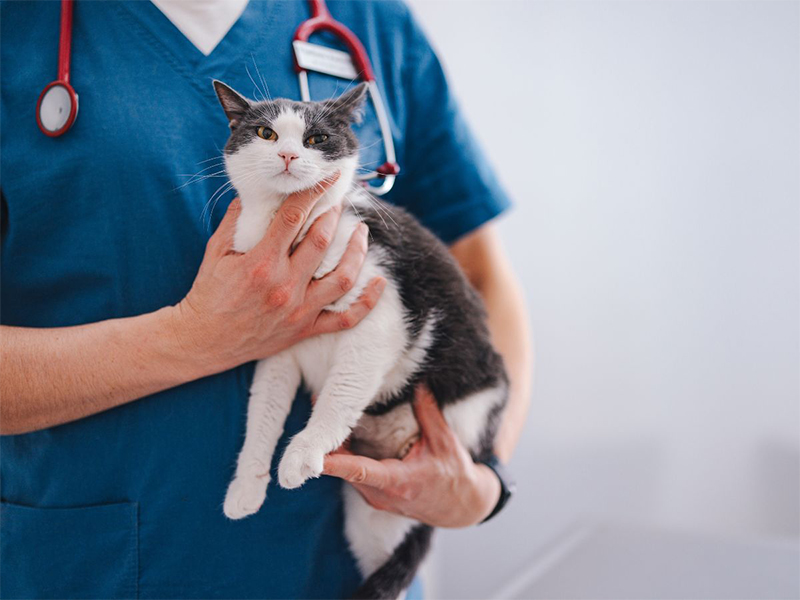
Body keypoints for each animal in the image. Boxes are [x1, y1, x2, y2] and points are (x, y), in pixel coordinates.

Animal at [214, 81, 506, 600]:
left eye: (317, 138)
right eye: (266, 133)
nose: (288, 154)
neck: (295, 231)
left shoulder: (379, 313)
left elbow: (342, 389)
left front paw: (304, 451)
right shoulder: (275, 343)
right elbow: (262, 412)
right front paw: (247, 484)